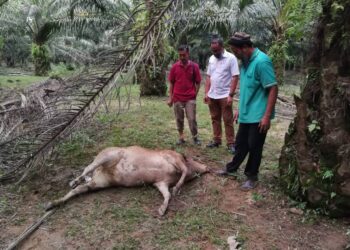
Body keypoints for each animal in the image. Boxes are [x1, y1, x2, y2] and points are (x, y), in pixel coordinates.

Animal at [46, 146, 211, 216]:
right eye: (196, 159)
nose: (207, 167)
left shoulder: (160, 182)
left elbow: (167, 195)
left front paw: (161, 210)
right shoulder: (172, 157)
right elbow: (183, 171)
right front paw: (177, 189)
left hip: (101, 182)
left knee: (81, 188)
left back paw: (50, 204)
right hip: (108, 155)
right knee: (88, 167)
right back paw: (73, 181)